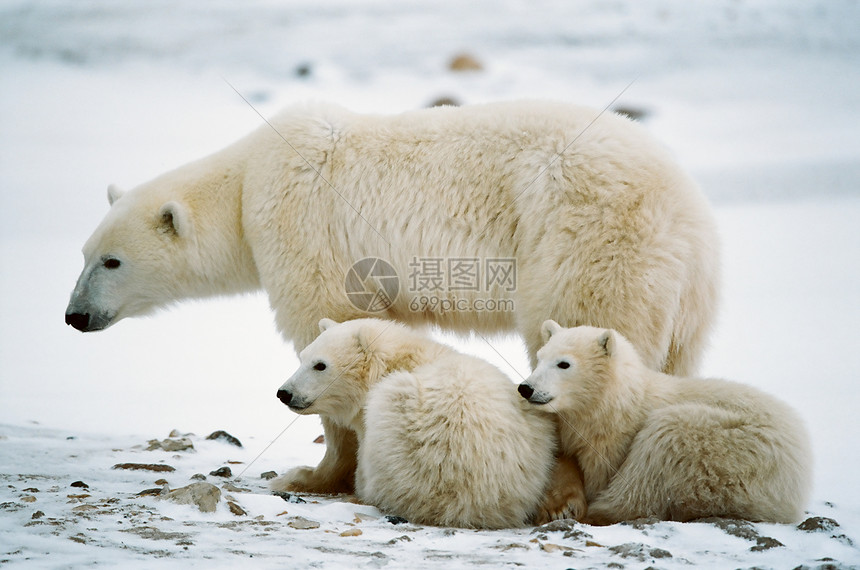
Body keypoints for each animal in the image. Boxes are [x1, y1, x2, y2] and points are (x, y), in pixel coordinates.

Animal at [65, 100, 720, 490]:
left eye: (112, 260)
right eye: (84, 254)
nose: (74, 316)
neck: (247, 181)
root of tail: (685, 208)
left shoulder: (302, 226)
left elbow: (326, 326)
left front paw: (311, 473)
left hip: (585, 242)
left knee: (586, 332)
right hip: (687, 297)